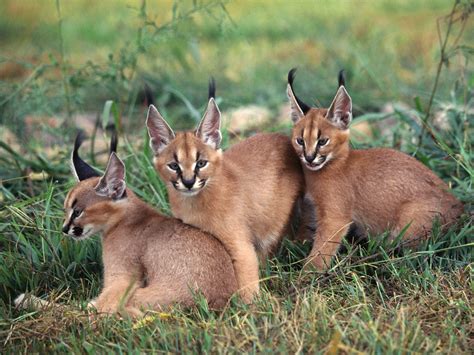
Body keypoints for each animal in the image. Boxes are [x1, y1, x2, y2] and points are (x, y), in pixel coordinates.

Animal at [55, 134, 235, 318]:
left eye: (77, 212)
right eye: (65, 209)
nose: (64, 229)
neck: (121, 221)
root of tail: (219, 305)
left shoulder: (122, 276)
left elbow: (103, 305)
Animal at [146, 80, 306, 304]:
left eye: (201, 163)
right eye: (174, 166)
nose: (188, 182)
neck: (194, 203)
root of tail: (283, 137)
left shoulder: (241, 247)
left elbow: (247, 285)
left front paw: (250, 310)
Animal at [286, 69, 462, 270]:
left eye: (322, 141)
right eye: (300, 140)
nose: (309, 158)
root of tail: (461, 207)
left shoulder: (335, 218)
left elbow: (321, 251)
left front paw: (307, 274)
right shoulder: (313, 208)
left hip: (409, 223)